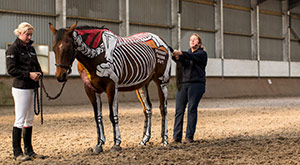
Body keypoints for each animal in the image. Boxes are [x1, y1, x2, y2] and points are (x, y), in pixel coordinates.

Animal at [49, 21, 171, 153]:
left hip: (162, 82)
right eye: (54, 48)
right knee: (148, 109)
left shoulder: (112, 87)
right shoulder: (90, 90)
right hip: (142, 85)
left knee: (163, 109)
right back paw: (144, 140)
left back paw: (164, 141)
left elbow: (113, 115)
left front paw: (116, 143)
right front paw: (99, 144)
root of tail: (162, 41)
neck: (95, 57)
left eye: (68, 47)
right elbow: (97, 117)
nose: (60, 76)